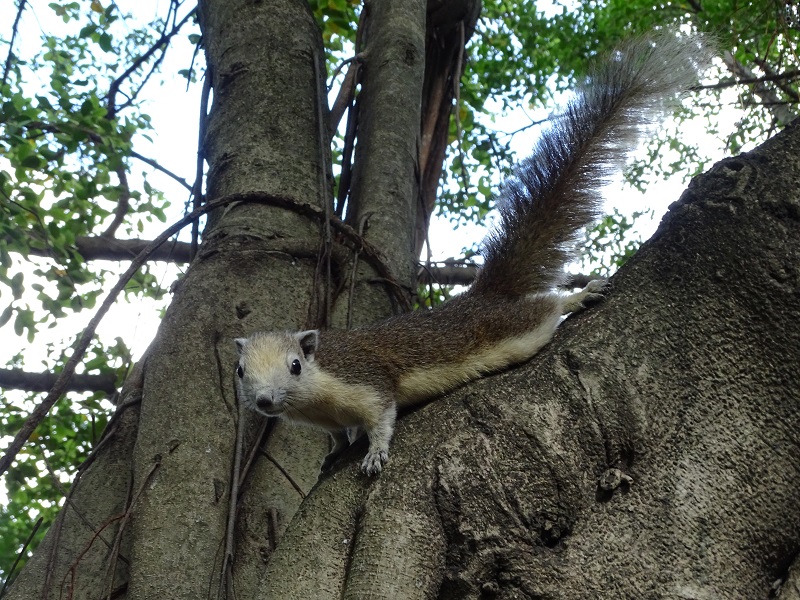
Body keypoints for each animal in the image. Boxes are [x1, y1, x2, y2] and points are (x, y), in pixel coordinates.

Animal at [235, 32, 711, 476]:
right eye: (240, 371)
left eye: (296, 366)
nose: (264, 400)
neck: (315, 399)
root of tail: (485, 296)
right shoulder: (330, 418)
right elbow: (337, 436)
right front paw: (333, 455)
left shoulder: (367, 383)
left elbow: (382, 419)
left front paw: (374, 454)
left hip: (514, 329)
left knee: (544, 309)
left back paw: (580, 295)